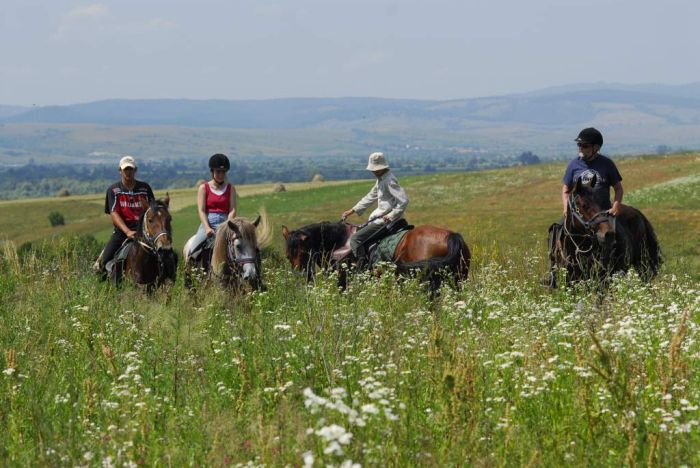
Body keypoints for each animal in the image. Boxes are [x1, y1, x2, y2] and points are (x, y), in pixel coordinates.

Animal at [280, 220, 470, 292]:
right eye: (288, 256)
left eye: (303, 253)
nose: (300, 277)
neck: (340, 242)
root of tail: (451, 236)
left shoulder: (343, 282)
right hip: (458, 281)